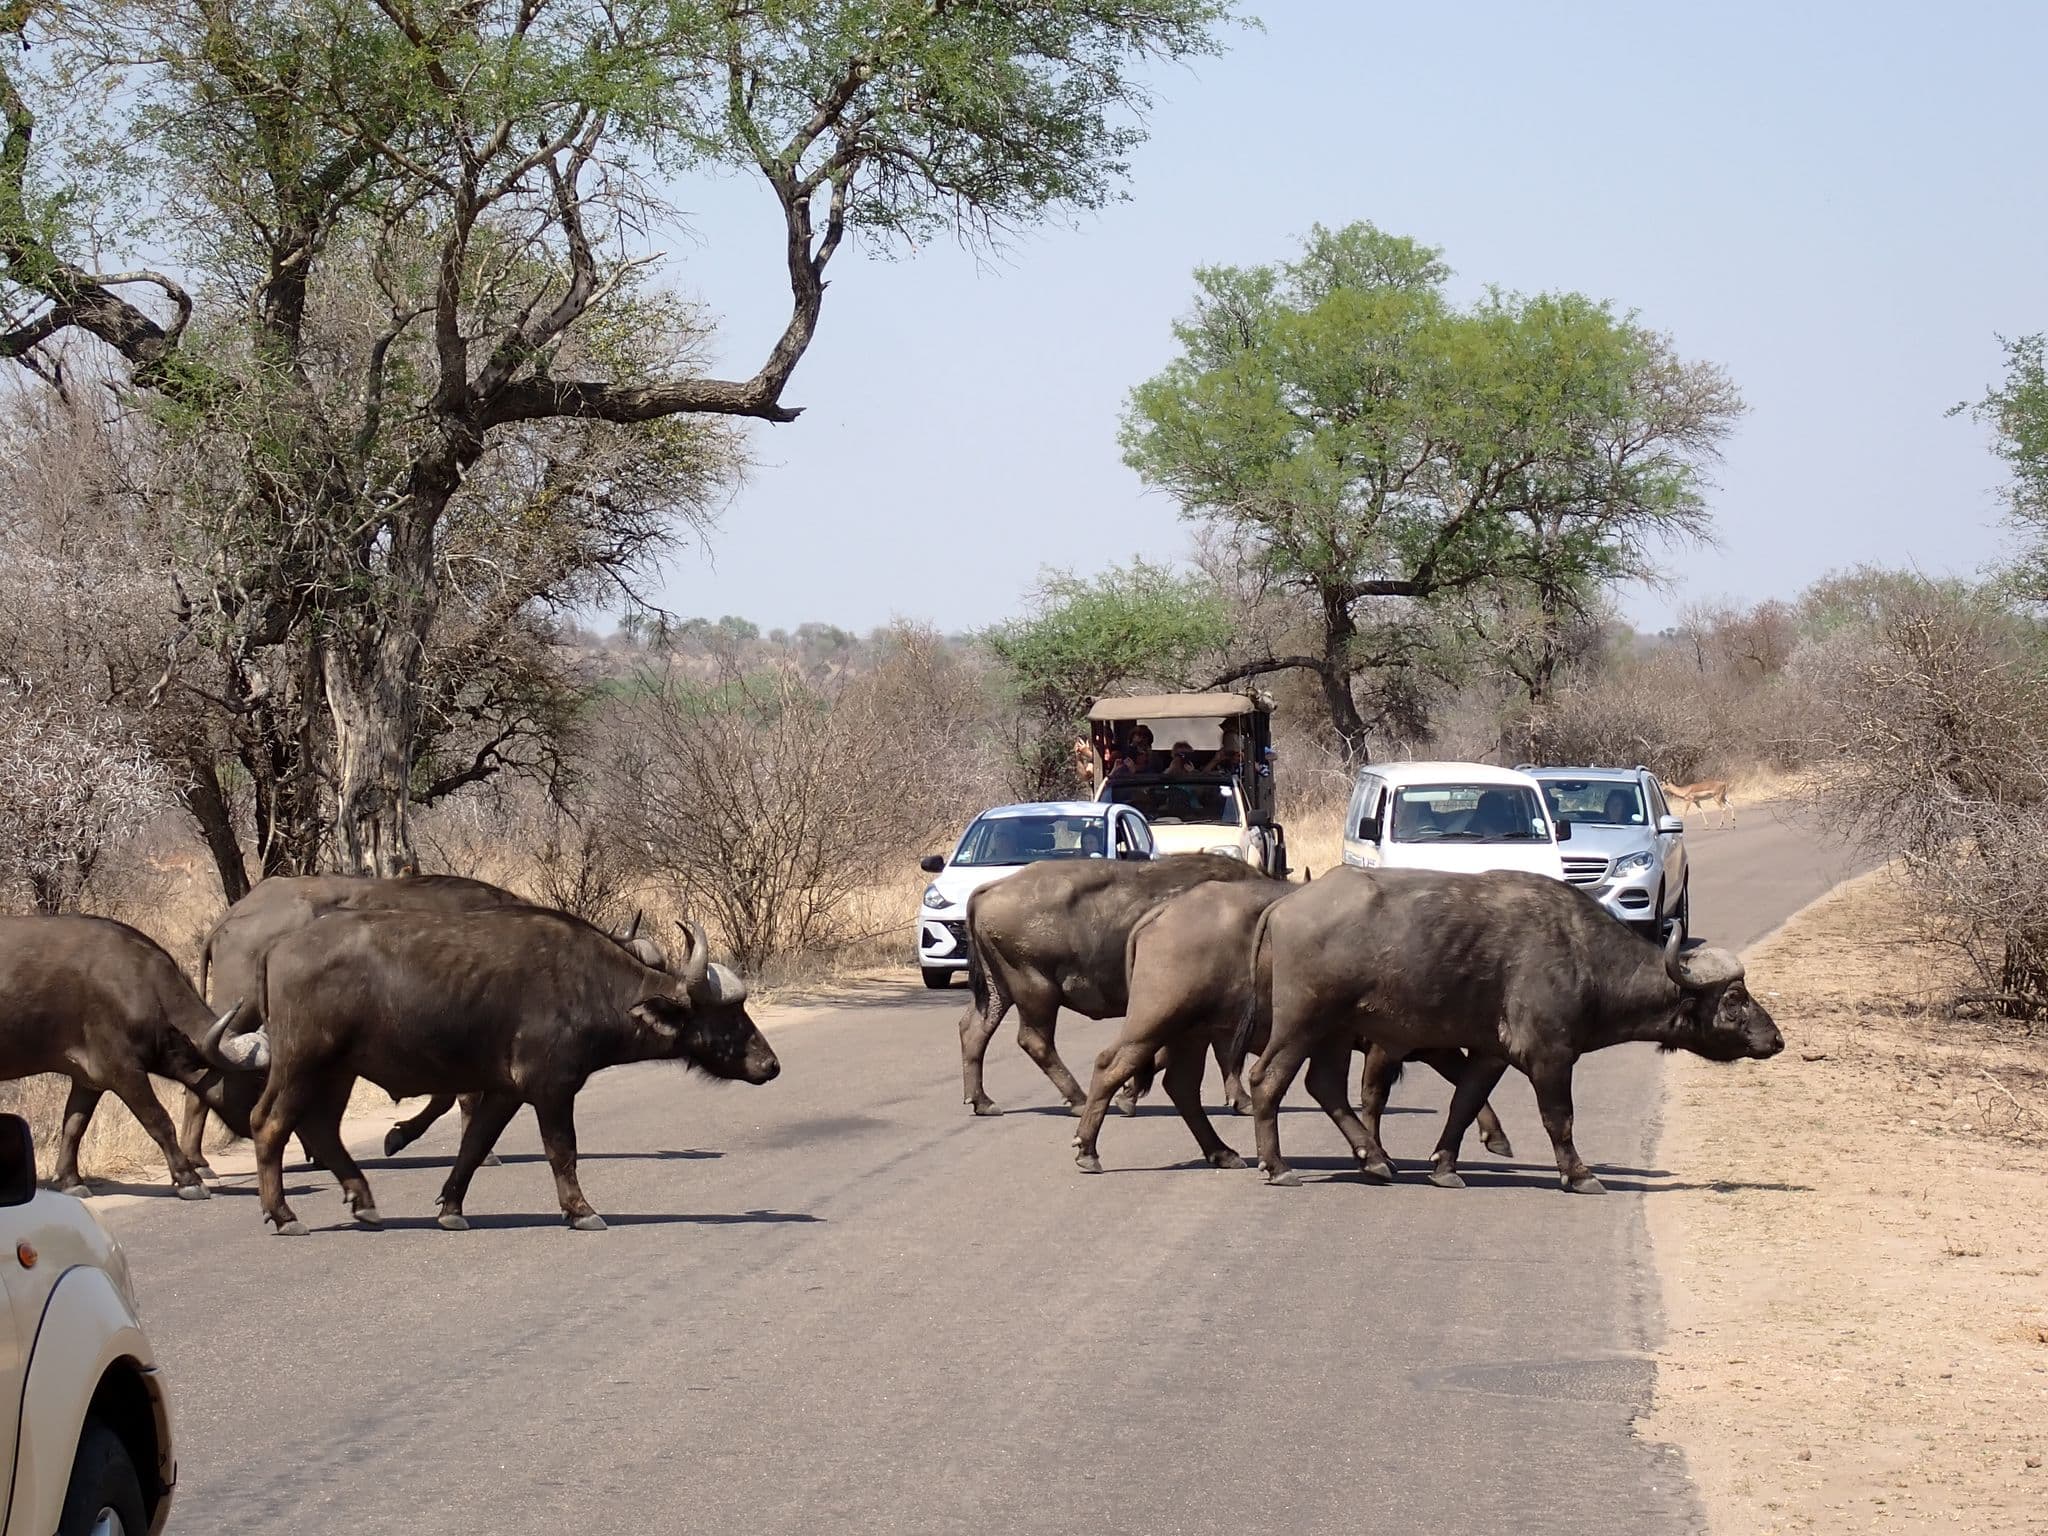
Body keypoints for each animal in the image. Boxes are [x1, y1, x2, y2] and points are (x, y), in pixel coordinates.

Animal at [0, 915, 267, 1198]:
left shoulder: (88, 1080)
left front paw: (69, 1180)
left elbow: (74, 1126)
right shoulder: (123, 1072)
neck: (142, 988)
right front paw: (189, 1178)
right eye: (258, 1080)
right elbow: (159, 1120)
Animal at [239, 909, 776, 1233]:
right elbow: (563, 1151)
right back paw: (283, 1214)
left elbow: (475, 1146)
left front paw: (452, 1209)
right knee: (269, 1123)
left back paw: (364, 1200)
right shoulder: (552, 1088)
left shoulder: (505, 1092)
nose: (770, 1064)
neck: (591, 987)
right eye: (728, 1015)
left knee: (321, 1128)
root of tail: (277, 949)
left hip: (338, 1071)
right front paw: (581, 1211)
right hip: (302, 1062)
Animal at [1231, 867, 1783, 1190]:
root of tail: (1284, 905)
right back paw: (1277, 1166)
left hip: (1335, 1032)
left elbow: (1464, 1104)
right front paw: (1579, 1174)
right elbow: (1560, 1119)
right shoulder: (1550, 1057)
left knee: (1325, 1085)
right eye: (1734, 998)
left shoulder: (1490, 1054)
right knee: (1267, 1080)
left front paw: (1445, 1167)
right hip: (1303, 1023)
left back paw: (1375, 1159)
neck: (1583, 957)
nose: (1776, 1039)